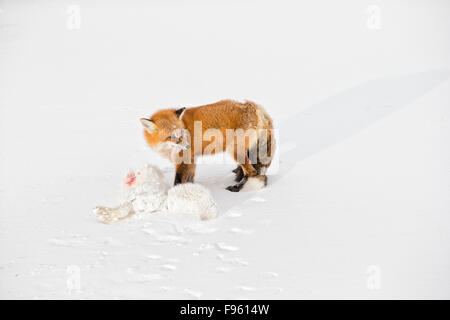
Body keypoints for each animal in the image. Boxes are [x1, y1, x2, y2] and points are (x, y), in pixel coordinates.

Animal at [140, 99, 274, 191]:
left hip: (234, 150)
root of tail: (255, 107)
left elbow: (178, 181)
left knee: (252, 172)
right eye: (170, 137)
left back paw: (236, 188)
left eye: (182, 133)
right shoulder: (191, 159)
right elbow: (189, 179)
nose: (188, 146)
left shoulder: (184, 159)